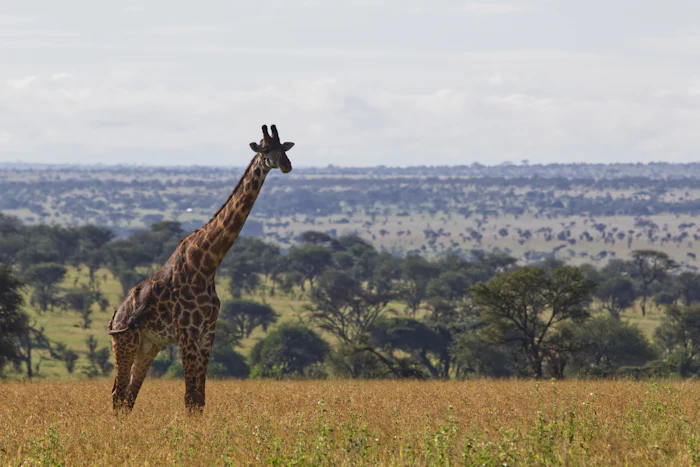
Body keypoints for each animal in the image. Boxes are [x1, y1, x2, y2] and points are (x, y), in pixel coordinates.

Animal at [108, 124, 294, 413]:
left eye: (283, 148)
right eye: (265, 150)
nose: (286, 165)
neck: (207, 265)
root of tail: (117, 314)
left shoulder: (208, 331)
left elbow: (200, 399)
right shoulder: (187, 330)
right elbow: (190, 397)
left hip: (149, 346)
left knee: (128, 396)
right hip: (124, 342)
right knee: (117, 394)